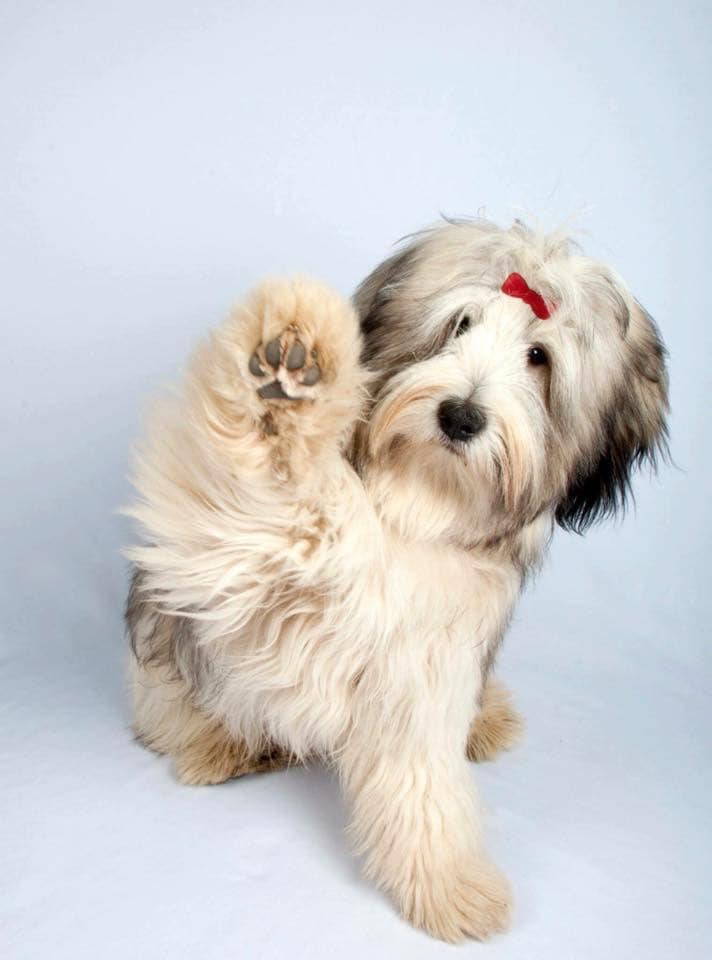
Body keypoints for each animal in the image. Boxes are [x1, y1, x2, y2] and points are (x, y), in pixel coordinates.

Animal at [125, 217, 668, 942]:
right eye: (459, 323)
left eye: (538, 357)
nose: (461, 417)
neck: (418, 503)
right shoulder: (260, 551)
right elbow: (274, 484)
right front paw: (288, 366)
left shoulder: (429, 664)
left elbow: (423, 782)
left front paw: (448, 883)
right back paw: (220, 743)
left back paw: (484, 722)